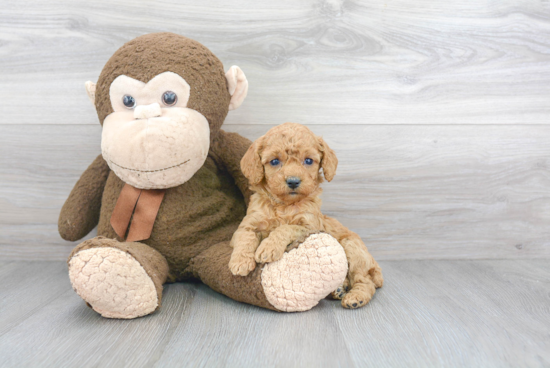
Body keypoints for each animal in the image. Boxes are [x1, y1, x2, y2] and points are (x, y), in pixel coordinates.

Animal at [229, 123, 384, 308]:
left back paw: (355, 298)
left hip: (354, 250)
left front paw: (268, 247)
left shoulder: (310, 225)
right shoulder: (249, 223)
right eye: (274, 161)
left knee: (365, 281)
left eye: (308, 160)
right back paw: (339, 289)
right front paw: (240, 262)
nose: (293, 181)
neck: (285, 205)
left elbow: (285, 228)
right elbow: (245, 237)